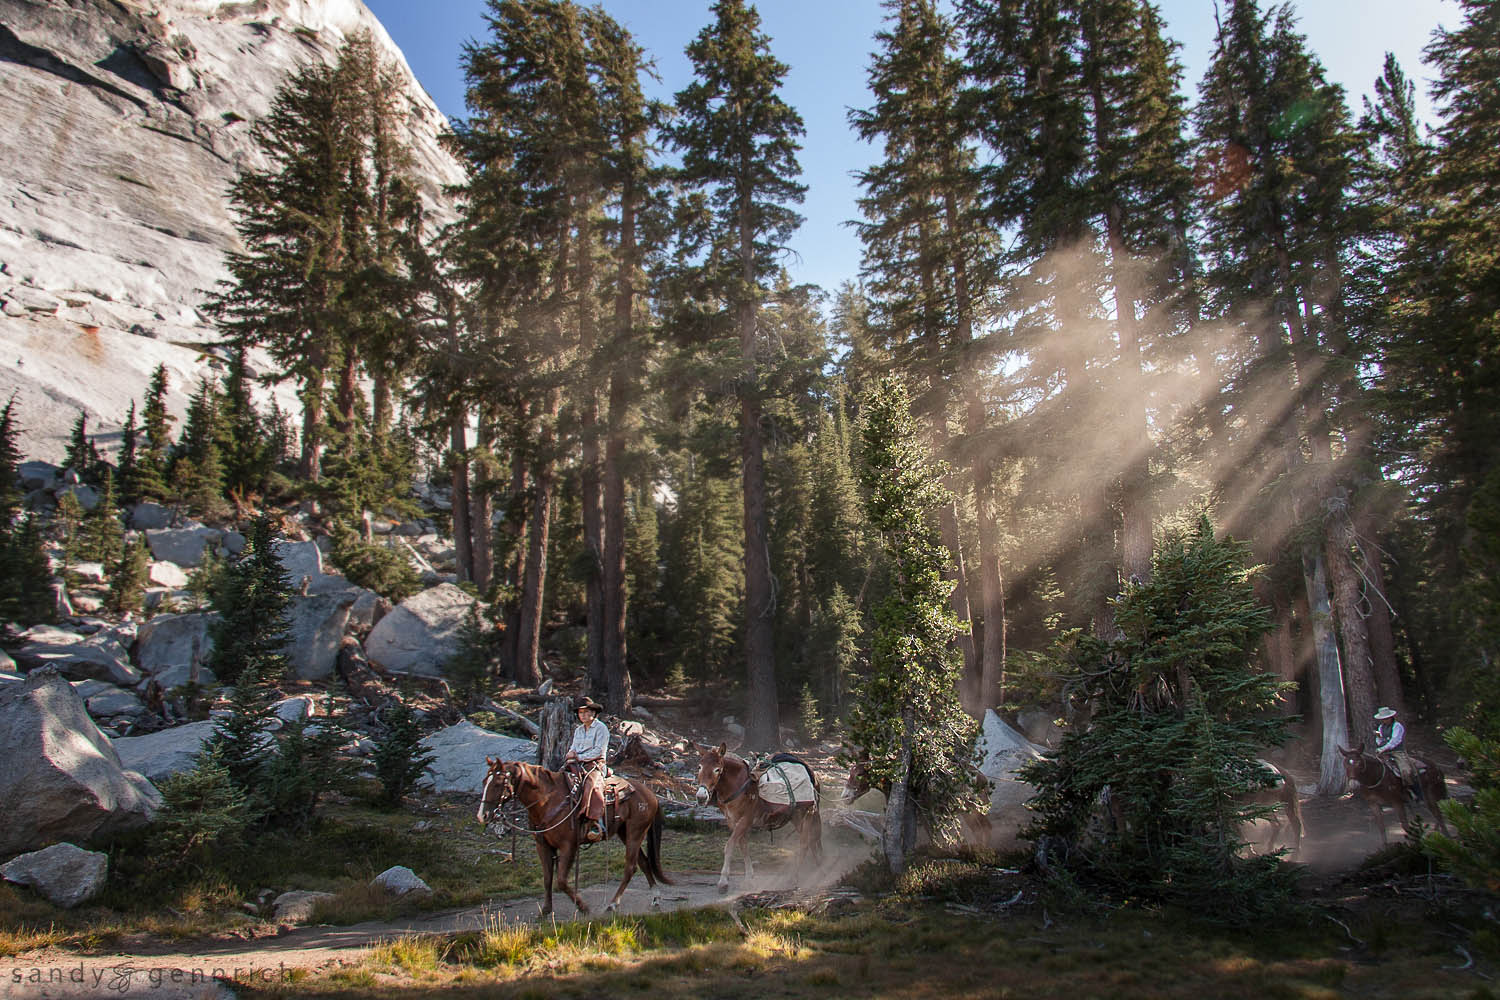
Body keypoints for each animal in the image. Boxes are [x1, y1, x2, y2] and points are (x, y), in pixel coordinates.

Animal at [480, 758, 675, 917]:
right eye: (484, 782)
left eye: (498, 783)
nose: (483, 815)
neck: (547, 800)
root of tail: (651, 794)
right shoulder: (543, 846)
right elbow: (547, 878)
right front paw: (546, 910)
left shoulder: (568, 846)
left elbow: (561, 881)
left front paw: (583, 907)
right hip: (625, 833)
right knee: (643, 862)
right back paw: (655, 899)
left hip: (636, 832)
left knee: (631, 867)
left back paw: (612, 904)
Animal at [693, 743, 822, 899]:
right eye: (699, 767)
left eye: (717, 769)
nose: (701, 796)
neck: (737, 784)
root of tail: (813, 775)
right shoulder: (733, 821)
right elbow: (743, 846)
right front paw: (749, 879)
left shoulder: (746, 820)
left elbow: (729, 846)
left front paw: (723, 882)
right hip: (796, 817)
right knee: (812, 840)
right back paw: (818, 869)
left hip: (808, 812)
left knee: (804, 843)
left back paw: (794, 878)